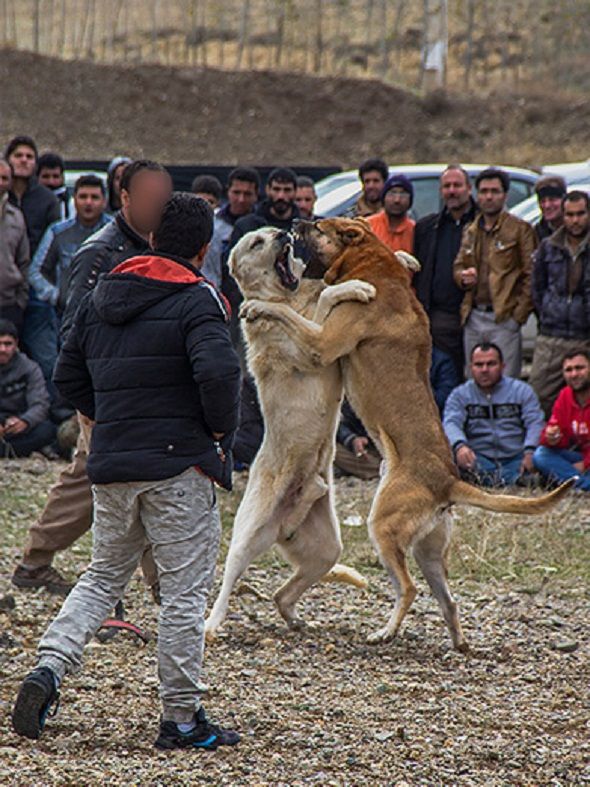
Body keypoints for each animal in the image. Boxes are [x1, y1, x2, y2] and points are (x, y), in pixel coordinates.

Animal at [243, 217, 576, 652]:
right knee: (447, 600)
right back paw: (458, 643)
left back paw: (386, 631)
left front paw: (257, 307)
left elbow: (289, 315)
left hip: (384, 528)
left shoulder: (321, 343)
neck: (375, 268)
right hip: (428, 551)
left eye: (317, 227)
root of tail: (448, 482)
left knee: (409, 588)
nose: (293, 223)